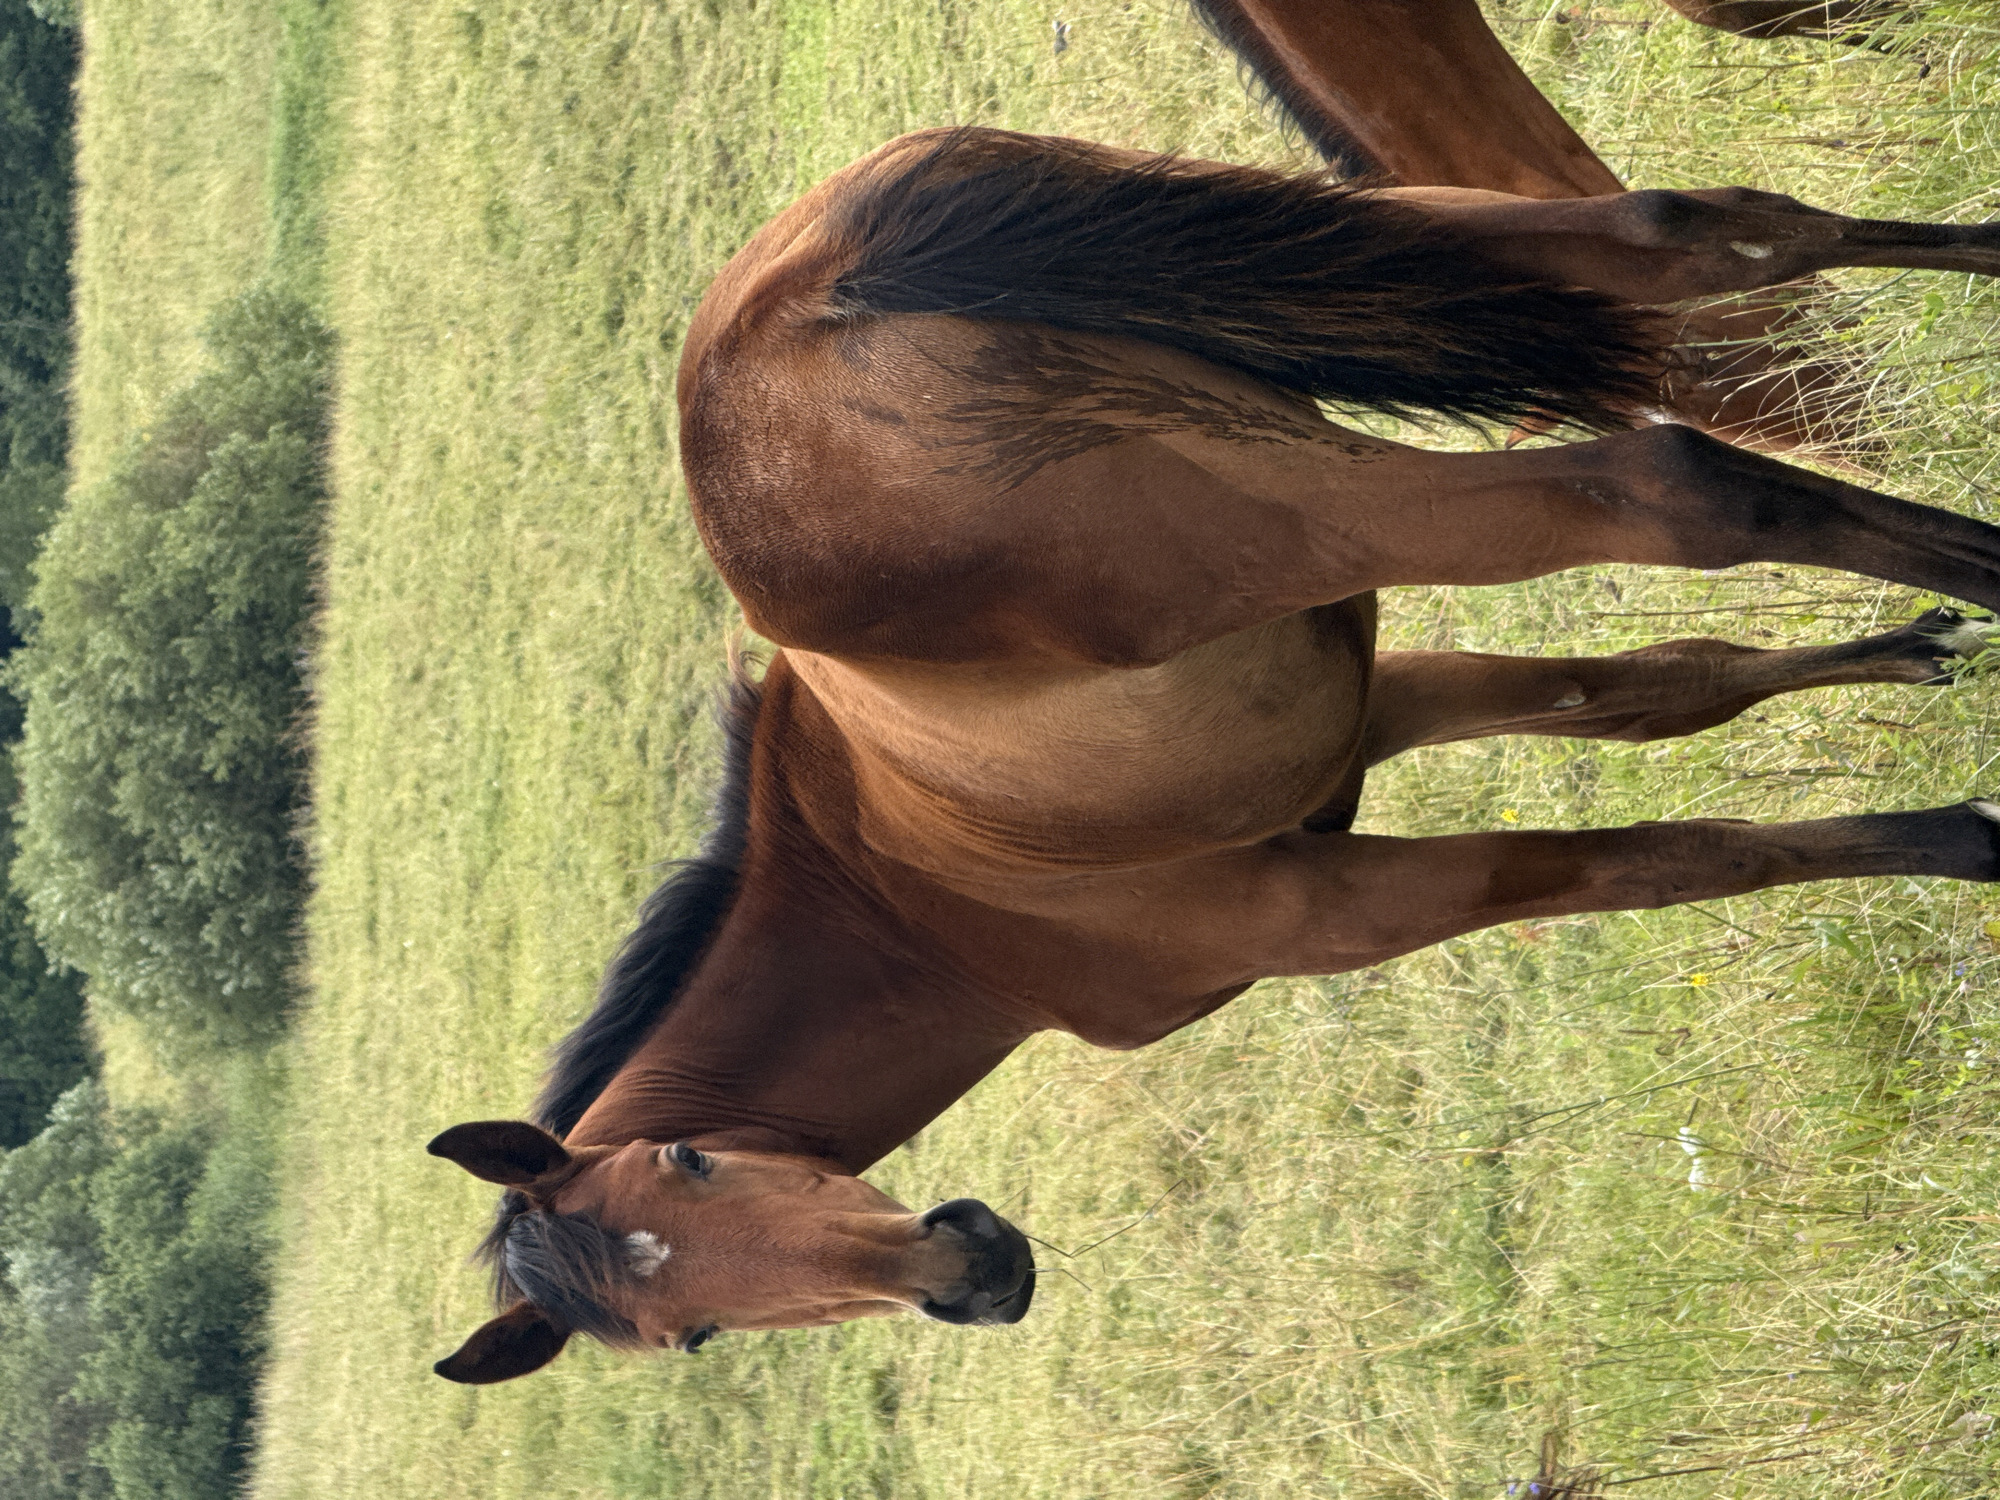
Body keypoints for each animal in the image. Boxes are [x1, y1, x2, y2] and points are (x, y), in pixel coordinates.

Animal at [426, 17, 2000, 1384]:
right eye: (691, 1336)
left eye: (690, 1160)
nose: (969, 1272)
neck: (919, 905)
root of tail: (797, 300)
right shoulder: (1367, 708)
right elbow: (1656, 698)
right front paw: (1908, 653)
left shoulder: (1329, 910)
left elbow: (1658, 863)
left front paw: (1957, 831)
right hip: (1378, 268)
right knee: (1694, 230)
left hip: (1316, 513)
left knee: (1679, 485)